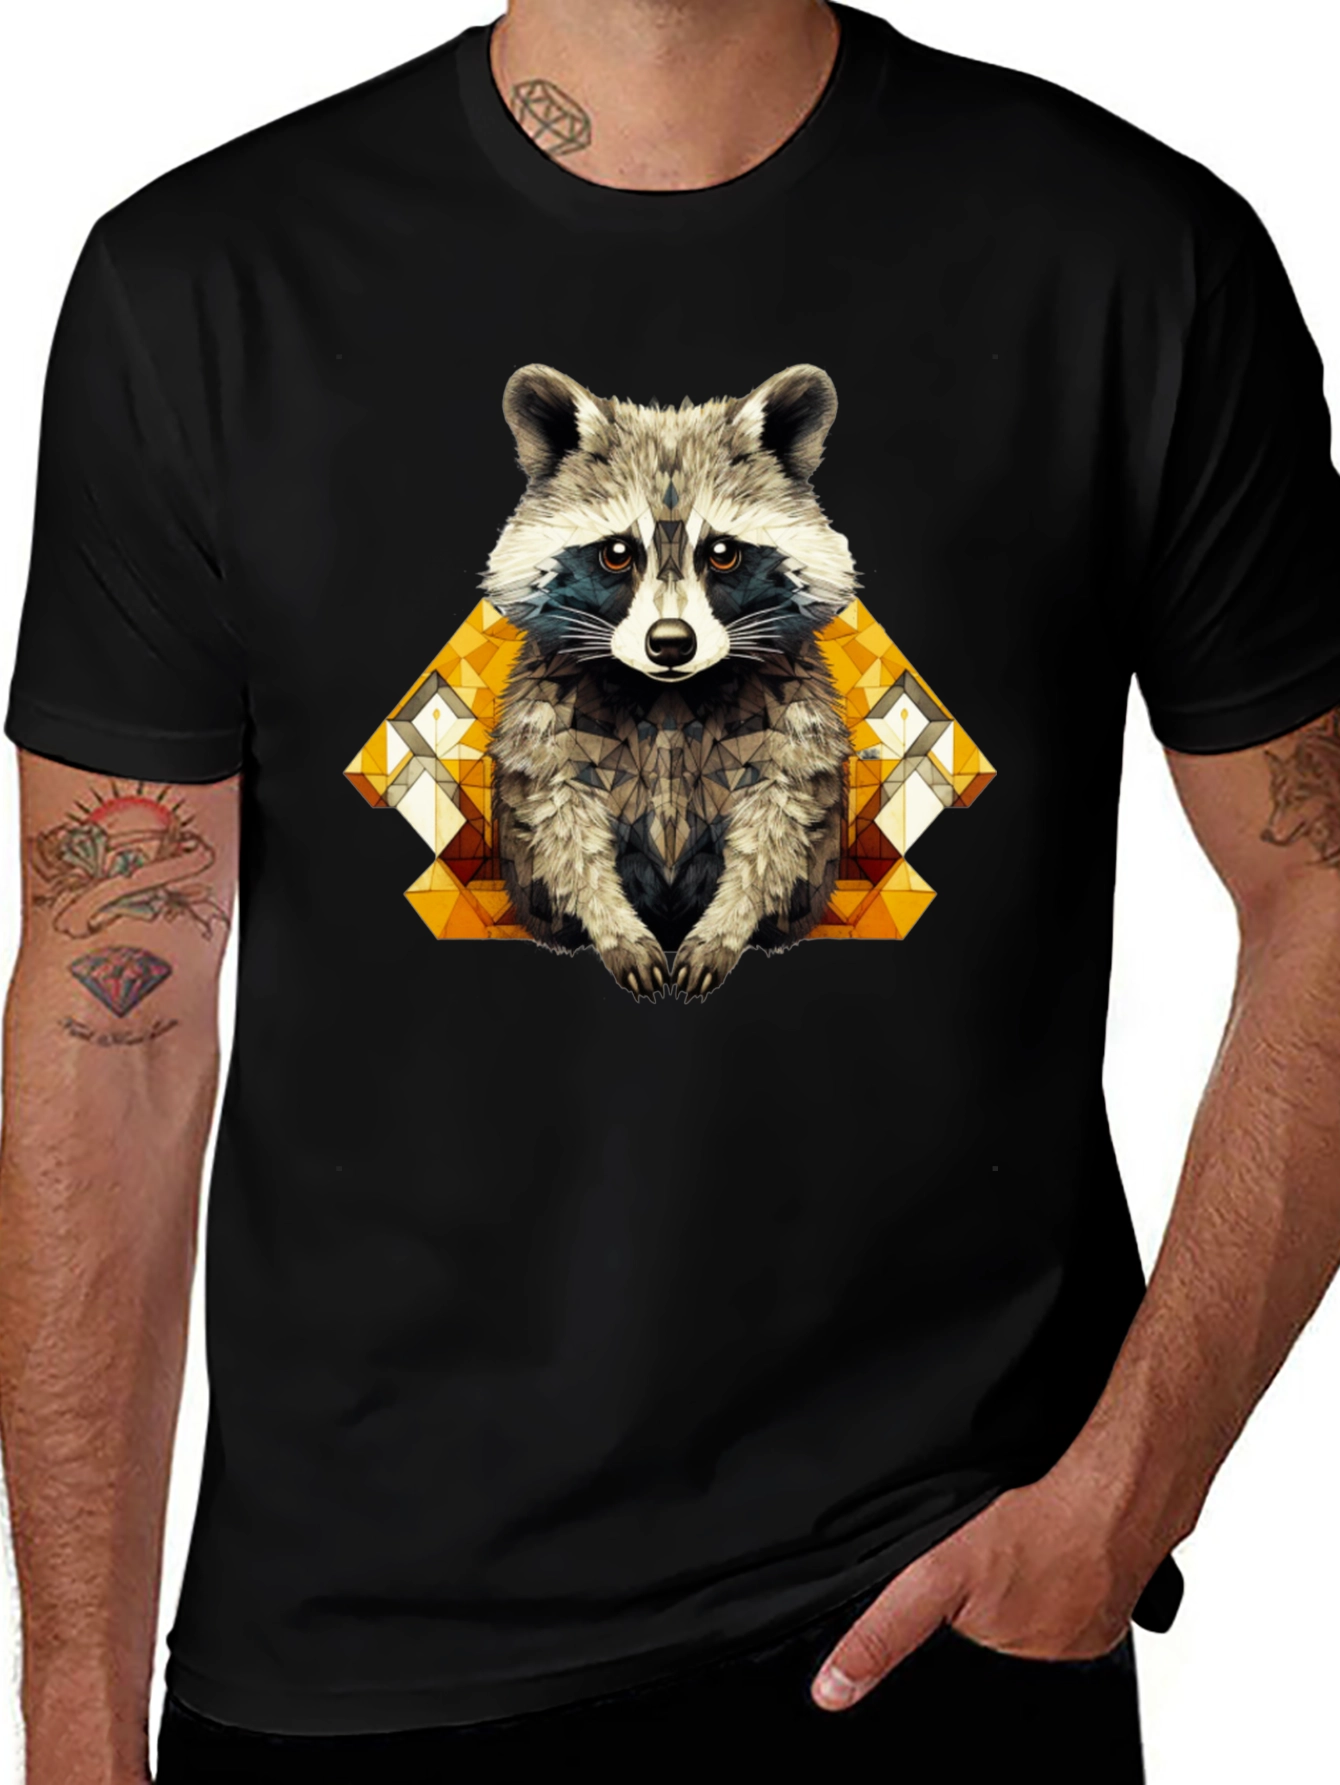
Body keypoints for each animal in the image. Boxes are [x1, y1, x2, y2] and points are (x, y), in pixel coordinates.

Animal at [485, 364, 856, 997]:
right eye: (616, 552)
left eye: (724, 552)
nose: (671, 643)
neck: (669, 694)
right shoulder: (552, 703)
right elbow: (560, 815)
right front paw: (613, 927)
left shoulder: (788, 700)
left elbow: (779, 813)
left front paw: (726, 928)